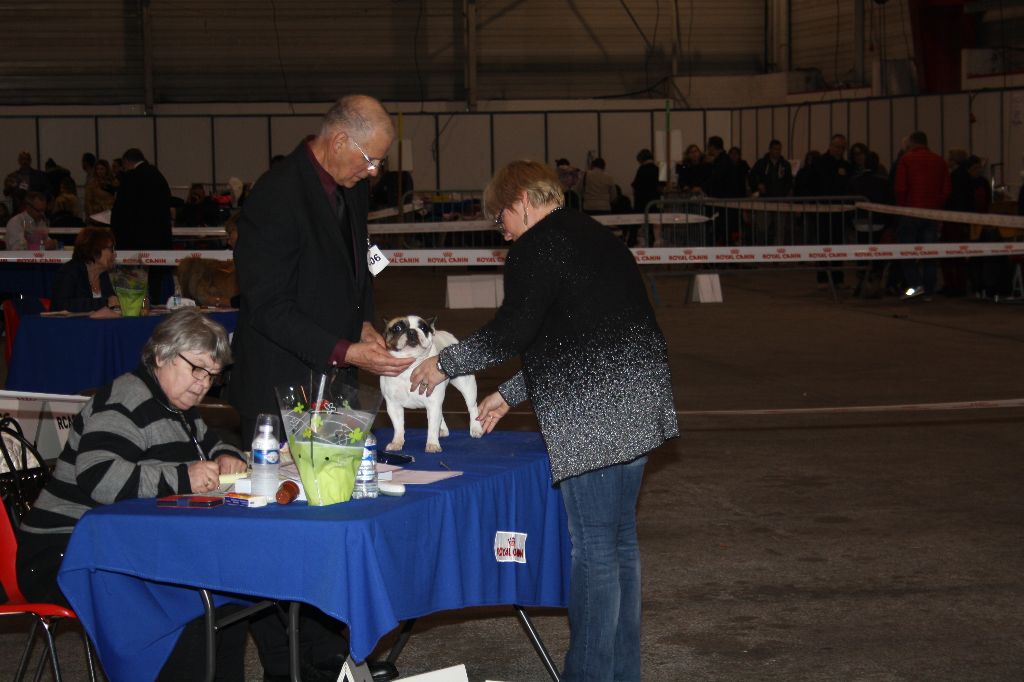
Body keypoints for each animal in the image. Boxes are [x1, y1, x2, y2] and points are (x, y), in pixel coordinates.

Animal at [380, 315, 483, 450]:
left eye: (423, 328)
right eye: (397, 328)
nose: (412, 331)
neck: (411, 366)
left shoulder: (433, 403)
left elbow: (432, 427)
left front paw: (432, 444)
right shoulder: (394, 405)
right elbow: (398, 426)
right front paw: (397, 442)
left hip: (466, 385)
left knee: (472, 407)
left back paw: (476, 428)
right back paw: (443, 429)